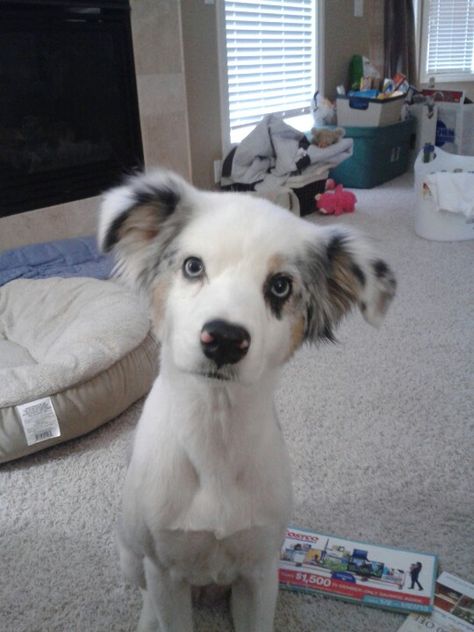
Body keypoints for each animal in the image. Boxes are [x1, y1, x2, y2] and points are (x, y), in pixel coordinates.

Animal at [99, 168, 396, 632]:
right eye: (193, 266)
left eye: (280, 285)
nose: (223, 339)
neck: (215, 433)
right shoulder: (165, 569)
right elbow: (167, 607)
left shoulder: (259, 571)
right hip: (130, 551)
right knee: (144, 591)